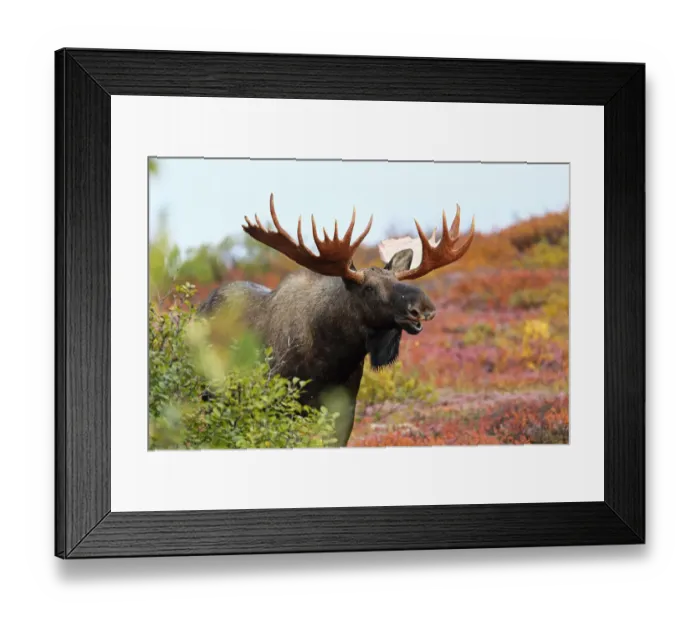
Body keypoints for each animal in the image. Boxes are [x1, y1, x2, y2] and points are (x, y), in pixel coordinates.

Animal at [197, 193, 475, 447]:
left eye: (396, 281)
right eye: (369, 289)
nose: (422, 307)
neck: (334, 354)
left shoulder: (344, 410)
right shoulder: (275, 402)